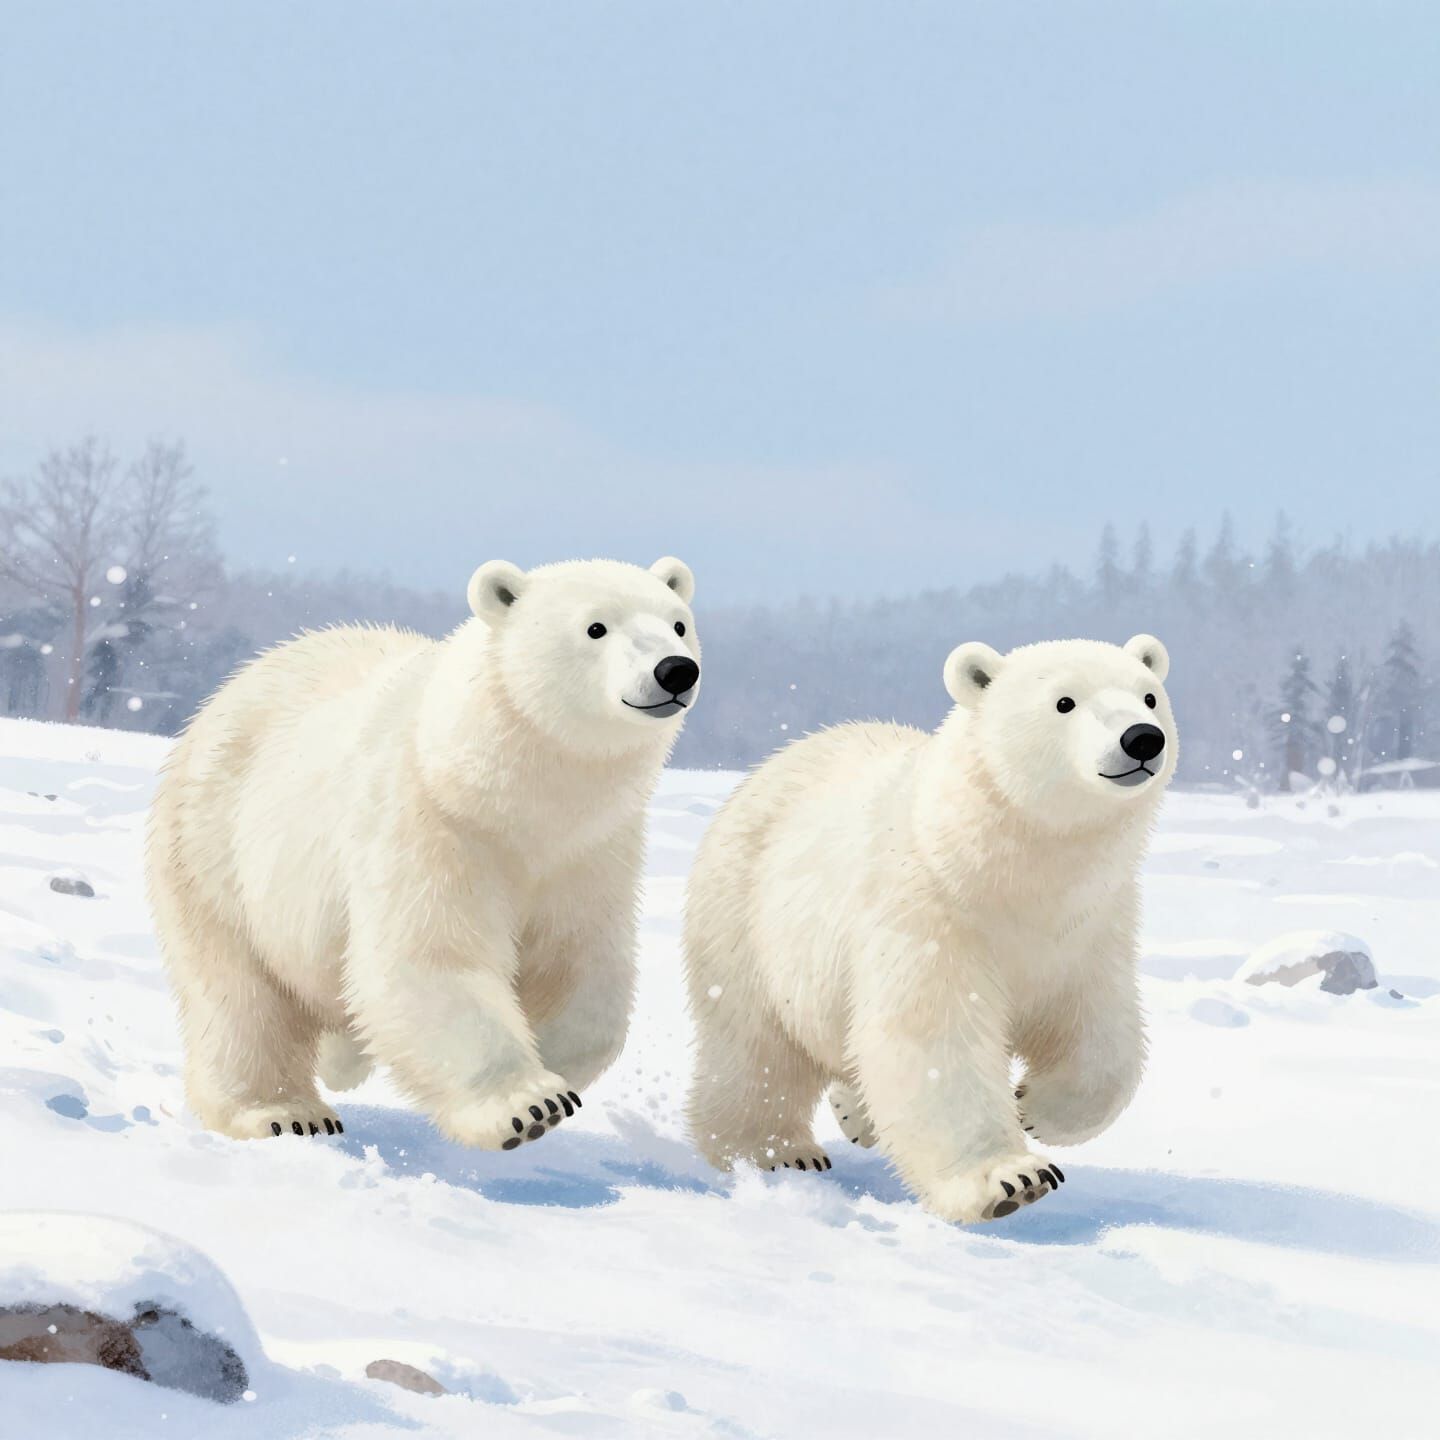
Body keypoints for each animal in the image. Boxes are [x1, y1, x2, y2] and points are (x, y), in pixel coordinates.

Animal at [146, 555, 700, 1147]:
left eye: (678, 623)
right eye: (596, 627)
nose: (675, 670)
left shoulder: (591, 851)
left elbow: (581, 974)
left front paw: (551, 1064)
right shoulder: (431, 823)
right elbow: (431, 956)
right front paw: (528, 1106)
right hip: (214, 849)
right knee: (242, 998)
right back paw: (285, 1112)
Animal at [683, 633, 1175, 1223]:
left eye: (1149, 696)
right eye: (1064, 702)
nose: (1142, 738)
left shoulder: (1089, 927)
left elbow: (1103, 1033)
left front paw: (1033, 1105)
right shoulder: (930, 912)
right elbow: (935, 1039)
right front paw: (1011, 1179)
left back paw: (854, 1115)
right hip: (745, 922)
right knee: (758, 1051)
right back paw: (777, 1152)